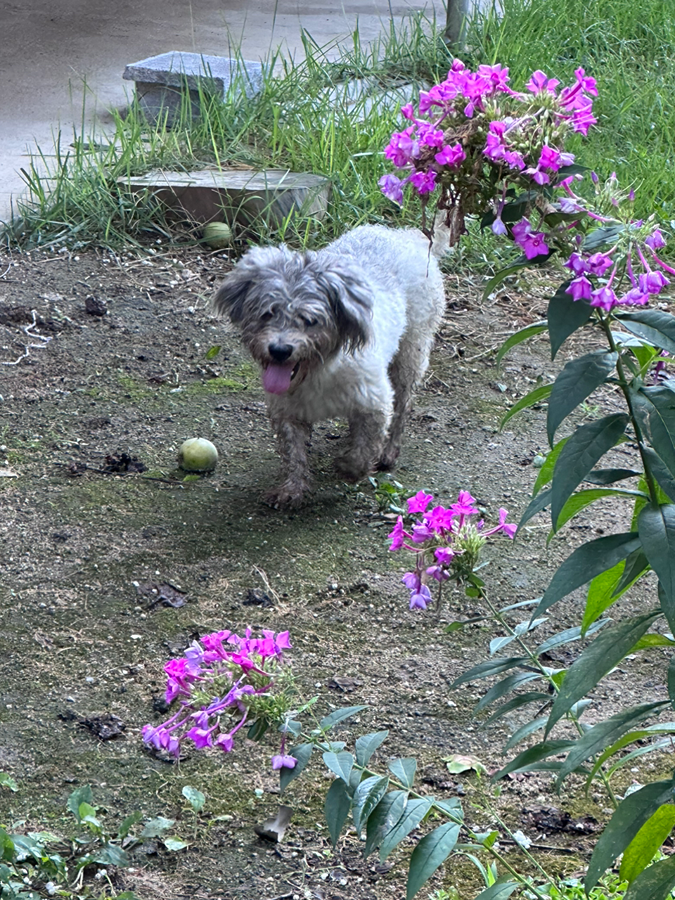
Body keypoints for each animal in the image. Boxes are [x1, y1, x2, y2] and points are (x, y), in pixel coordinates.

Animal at [211, 224, 444, 506]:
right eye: (268, 313)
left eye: (310, 320)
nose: (279, 350)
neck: (317, 371)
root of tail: (407, 235)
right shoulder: (287, 411)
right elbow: (294, 453)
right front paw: (292, 489)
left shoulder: (375, 401)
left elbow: (366, 448)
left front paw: (349, 468)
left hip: (410, 354)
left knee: (402, 406)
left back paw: (389, 453)